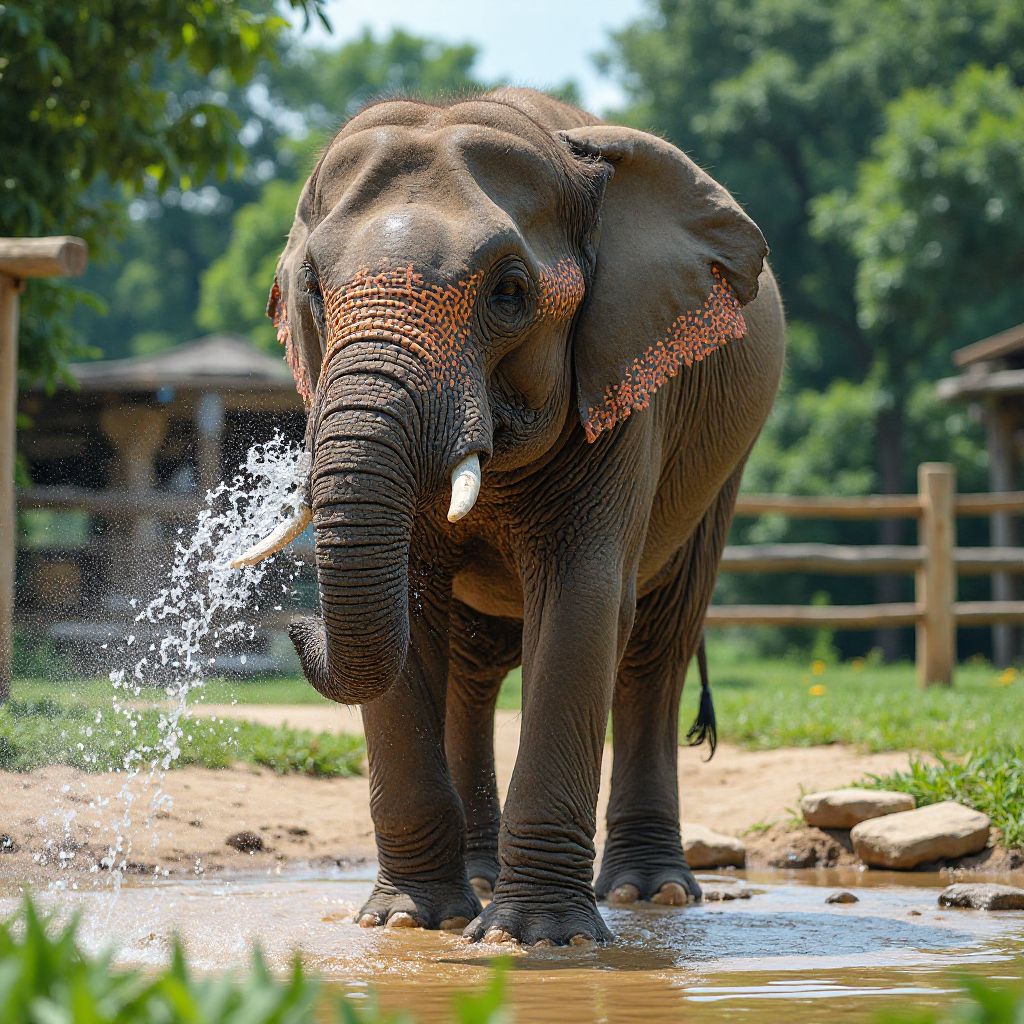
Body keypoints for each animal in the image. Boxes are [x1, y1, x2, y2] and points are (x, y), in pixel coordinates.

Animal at [235, 87, 785, 946]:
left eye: (510, 293)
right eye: (315, 290)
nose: (295, 625)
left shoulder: (624, 388)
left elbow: (583, 603)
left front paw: (535, 939)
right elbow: (410, 604)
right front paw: (407, 921)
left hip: (721, 465)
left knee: (656, 647)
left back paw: (649, 893)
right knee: (476, 665)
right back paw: (483, 879)